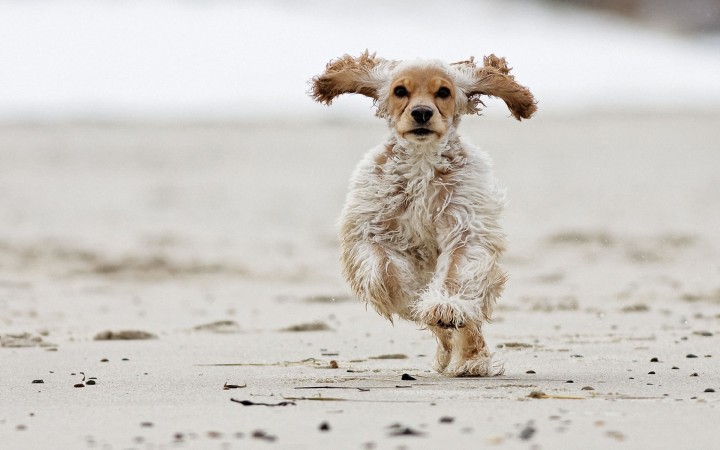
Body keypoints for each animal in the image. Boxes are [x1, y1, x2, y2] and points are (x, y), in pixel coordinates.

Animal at [310, 51, 536, 376]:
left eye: (443, 92)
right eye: (400, 91)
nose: (421, 113)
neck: (422, 161)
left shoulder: (466, 227)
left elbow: (456, 274)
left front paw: (445, 307)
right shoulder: (370, 228)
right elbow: (385, 270)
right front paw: (410, 295)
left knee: (470, 323)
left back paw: (471, 358)